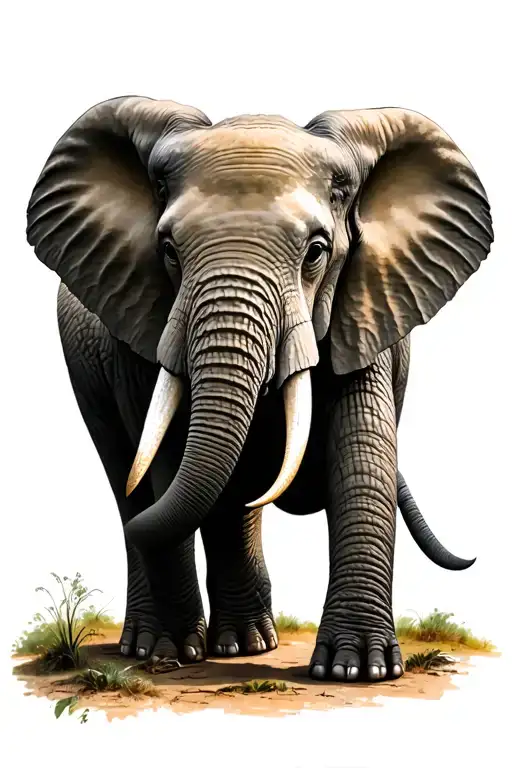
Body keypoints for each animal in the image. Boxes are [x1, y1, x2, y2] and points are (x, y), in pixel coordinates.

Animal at [26, 96, 493, 682]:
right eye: (168, 250)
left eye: (316, 252)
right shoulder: (136, 321)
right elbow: (167, 457)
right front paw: (173, 656)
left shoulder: (366, 305)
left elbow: (362, 452)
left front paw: (356, 670)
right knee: (127, 475)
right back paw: (165, 646)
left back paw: (244, 645)